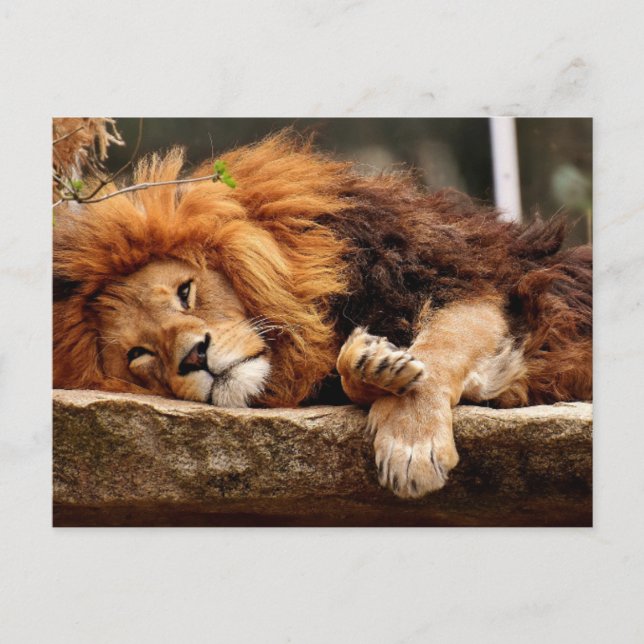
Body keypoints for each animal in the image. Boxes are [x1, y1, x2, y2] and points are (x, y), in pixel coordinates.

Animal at [53, 131, 592, 499]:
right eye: (139, 356)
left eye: (185, 292)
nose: (194, 358)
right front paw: (373, 365)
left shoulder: (479, 281)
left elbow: (444, 348)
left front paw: (410, 446)